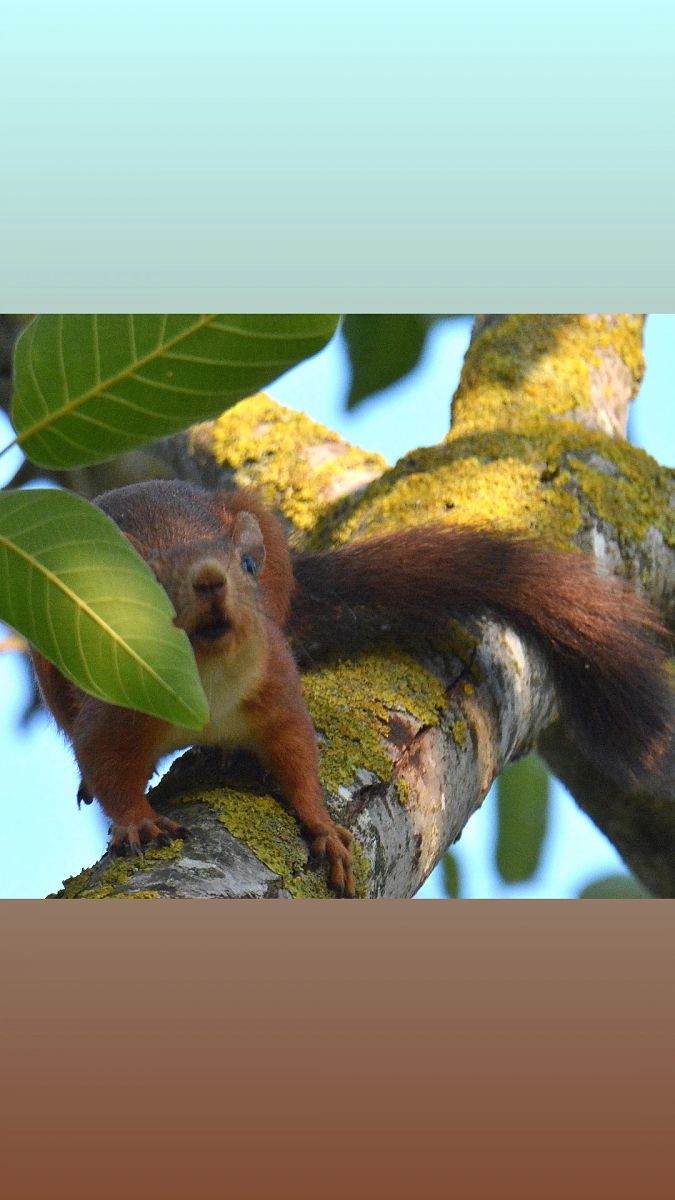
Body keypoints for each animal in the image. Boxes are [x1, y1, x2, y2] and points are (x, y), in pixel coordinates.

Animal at [31, 479, 673, 898]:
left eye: (246, 565)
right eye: (149, 581)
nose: (212, 582)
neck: (208, 684)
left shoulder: (275, 685)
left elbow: (297, 753)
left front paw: (322, 829)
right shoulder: (115, 707)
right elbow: (106, 763)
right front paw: (135, 821)